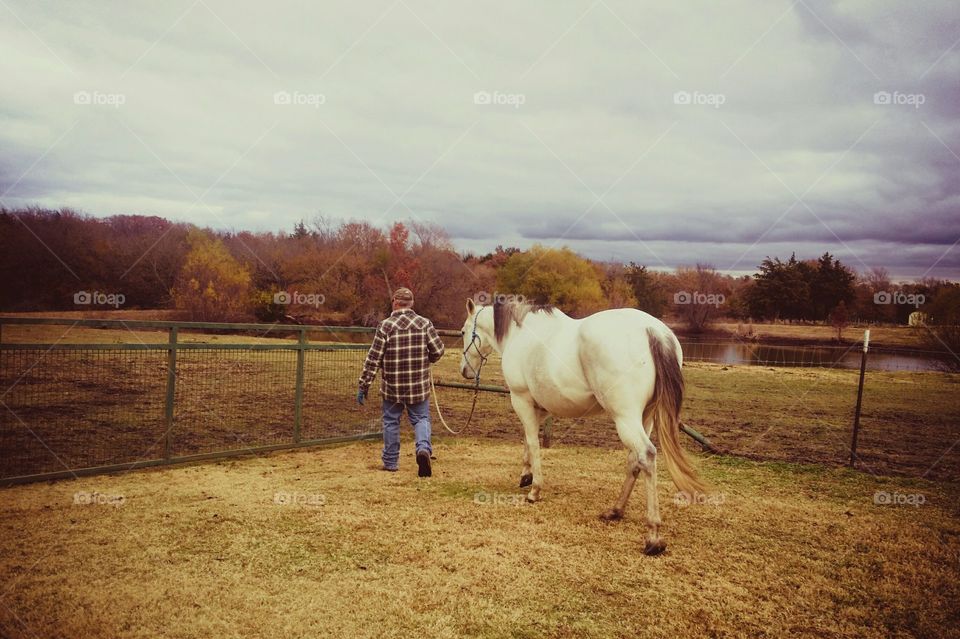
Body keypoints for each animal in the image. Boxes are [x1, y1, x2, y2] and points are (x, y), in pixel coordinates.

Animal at [458, 300, 704, 556]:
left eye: (463, 332)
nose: (464, 371)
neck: (520, 333)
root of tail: (653, 330)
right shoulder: (539, 408)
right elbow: (527, 439)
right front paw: (526, 475)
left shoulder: (521, 399)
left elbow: (533, 443)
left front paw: (534, 490)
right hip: (645, 418)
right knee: (634, 460)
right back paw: (615, 510)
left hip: (625, 418)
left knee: (646, 456)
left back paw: (653, 536)